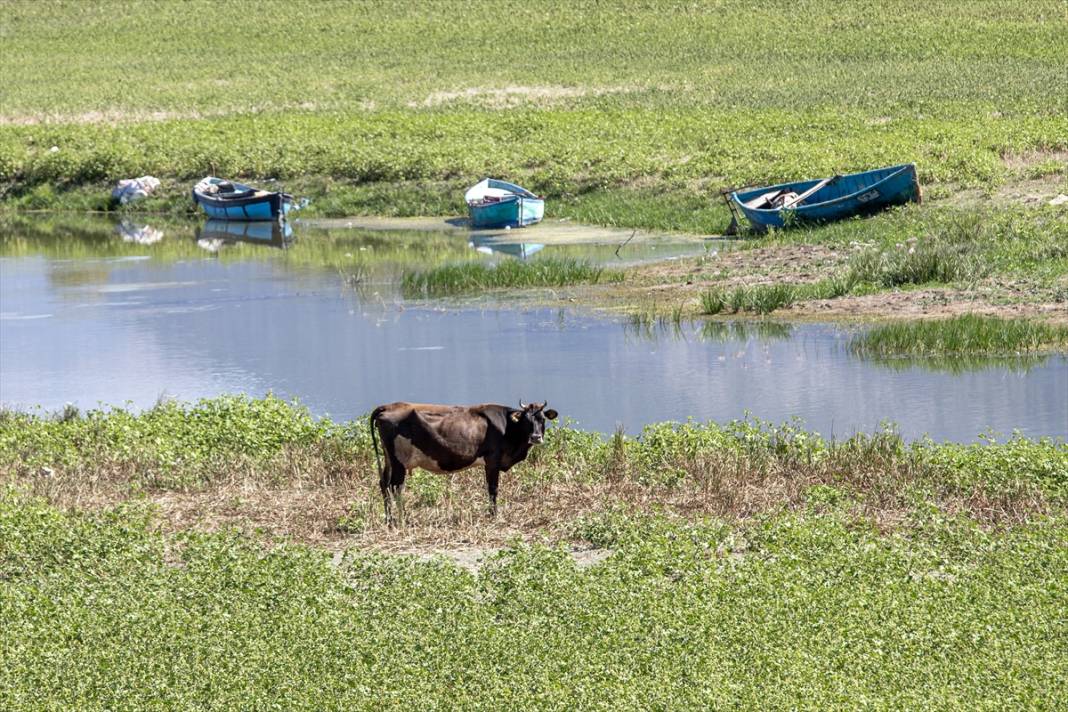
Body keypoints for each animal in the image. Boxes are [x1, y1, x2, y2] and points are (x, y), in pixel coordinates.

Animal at [369, 401, 559, 523]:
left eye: (542, 419)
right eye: (526, 420)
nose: (536, 437)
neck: (507, 427)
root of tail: (388, 406)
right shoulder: (493, 460)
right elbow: (493, 489)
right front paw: (493, 515)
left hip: (388, 459)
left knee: (384, 483)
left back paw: (389, 519)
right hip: (399, 461)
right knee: (395, 486)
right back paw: (402, 519)